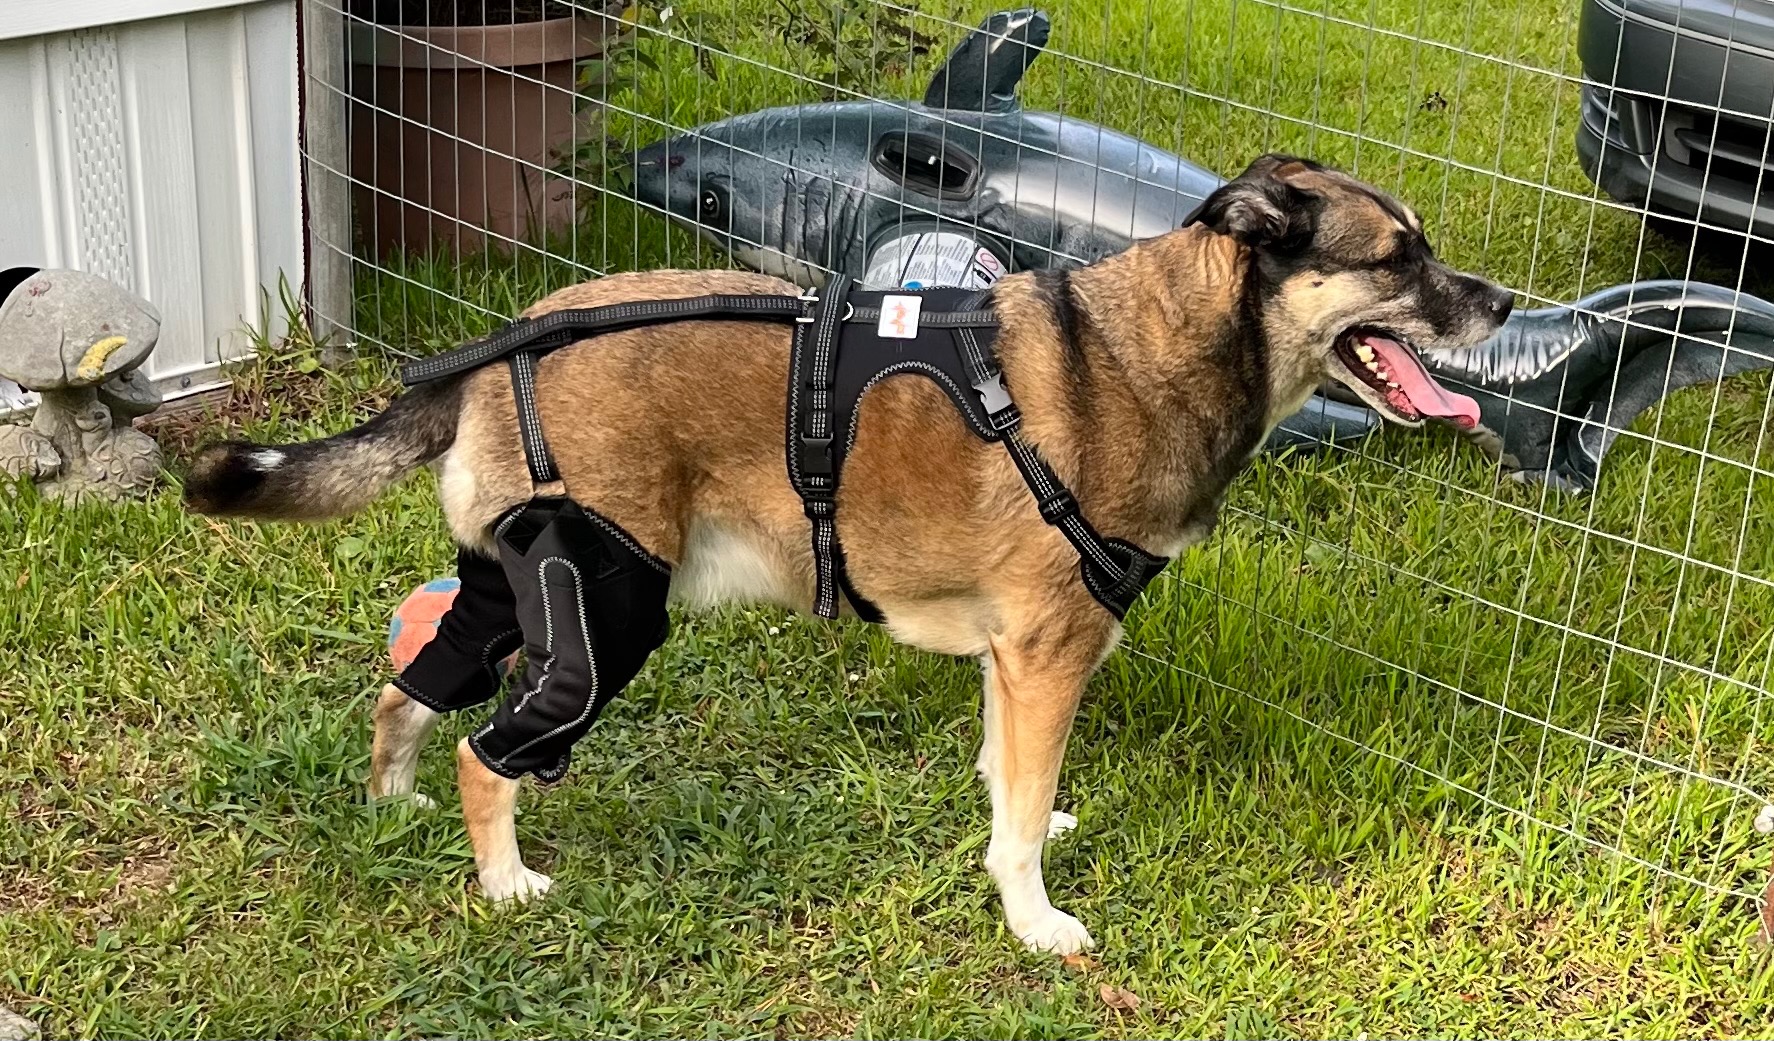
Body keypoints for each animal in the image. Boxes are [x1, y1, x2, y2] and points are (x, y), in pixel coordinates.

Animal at [184, 155, 1511, 954]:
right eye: (1395, 256)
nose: (1499, 304)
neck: (1150, 350)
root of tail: (506, 340)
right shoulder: (1051, 653)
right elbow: (1013, 822)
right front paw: (1035, 923)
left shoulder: (1012, 660)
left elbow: (1004, 781)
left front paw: (1028, 838)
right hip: (606, 606)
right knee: (488, 747)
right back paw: (502, 882)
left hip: (508, 584)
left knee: (410, 691)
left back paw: (392, 806)